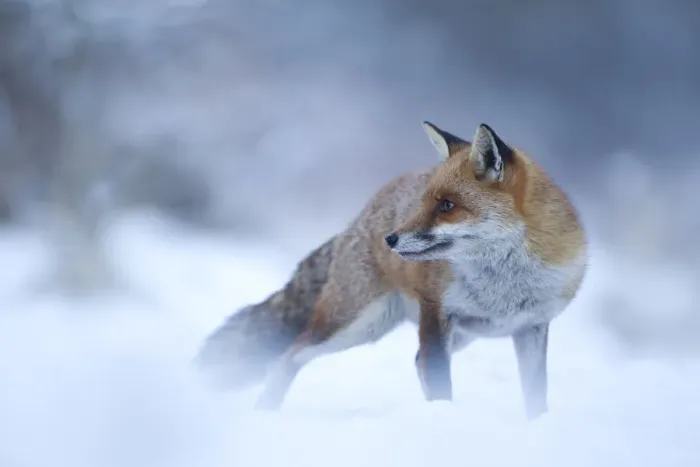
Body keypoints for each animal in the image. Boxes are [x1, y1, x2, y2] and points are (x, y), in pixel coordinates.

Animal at [195, 121, 587, 420]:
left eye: (447, 206)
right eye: (424, 203)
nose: (390, 239)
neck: (504, 285)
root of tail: (363, 213)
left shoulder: (532, 327)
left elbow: (536, 397)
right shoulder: (436, 314)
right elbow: (442, 385)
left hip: (457, 335)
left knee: (414, 361)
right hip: (353, 325)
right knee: (287, 356)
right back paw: (264, 412)